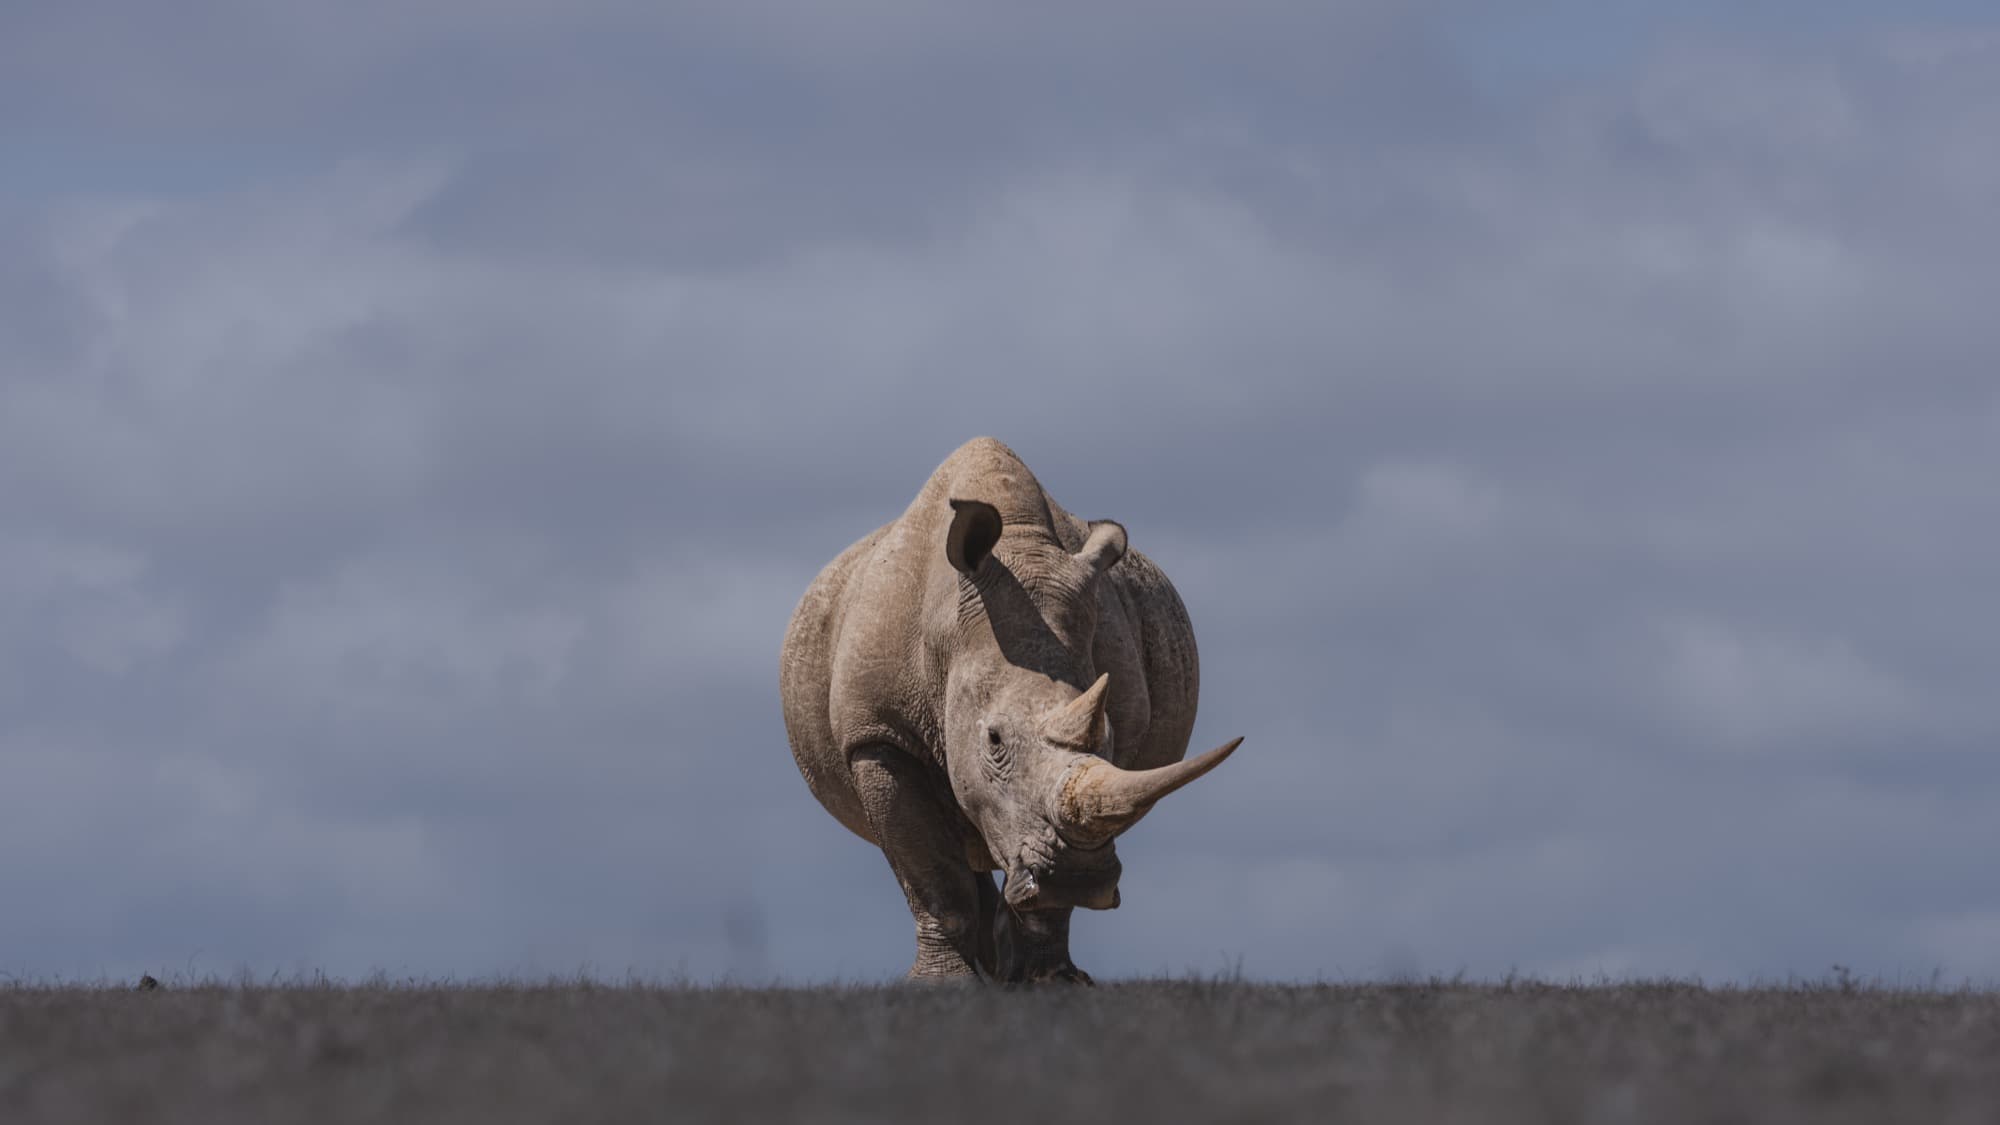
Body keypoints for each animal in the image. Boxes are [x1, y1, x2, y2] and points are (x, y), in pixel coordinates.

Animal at [779, 437, 1241, 983]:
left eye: (1108, 735)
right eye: (994, 740)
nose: (1080, 876)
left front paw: (1051, 983)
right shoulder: (877, 733)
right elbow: (932, 872)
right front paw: (944, 986)